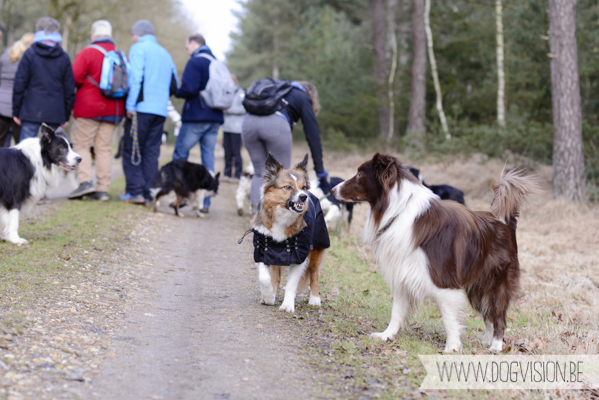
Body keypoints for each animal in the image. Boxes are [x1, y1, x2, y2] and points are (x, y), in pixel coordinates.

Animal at [253, 153, 328, 312]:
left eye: (303, 187)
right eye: (288, 187)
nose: (304, 197)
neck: (282, 215)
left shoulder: (299, 254)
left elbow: (291, 284)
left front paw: (287, 305)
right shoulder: (263, 248)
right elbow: (265, 277)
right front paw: (268, 296)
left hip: (316, 250)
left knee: (314, 275)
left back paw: (314, 299)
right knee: (276, 277)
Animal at [332, 152, 540, 352]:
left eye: (360, 174)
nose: (333, 190)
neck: (398, 210)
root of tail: (505, 222)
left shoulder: (444, 281)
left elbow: (449, 318)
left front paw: (452, 347)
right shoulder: (403, 273)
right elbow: (397, 311)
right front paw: (387, 336)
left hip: (496, 283)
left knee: (498, 316)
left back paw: (496, 346)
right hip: (478, 286)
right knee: (488, 315)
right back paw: (485, 342)